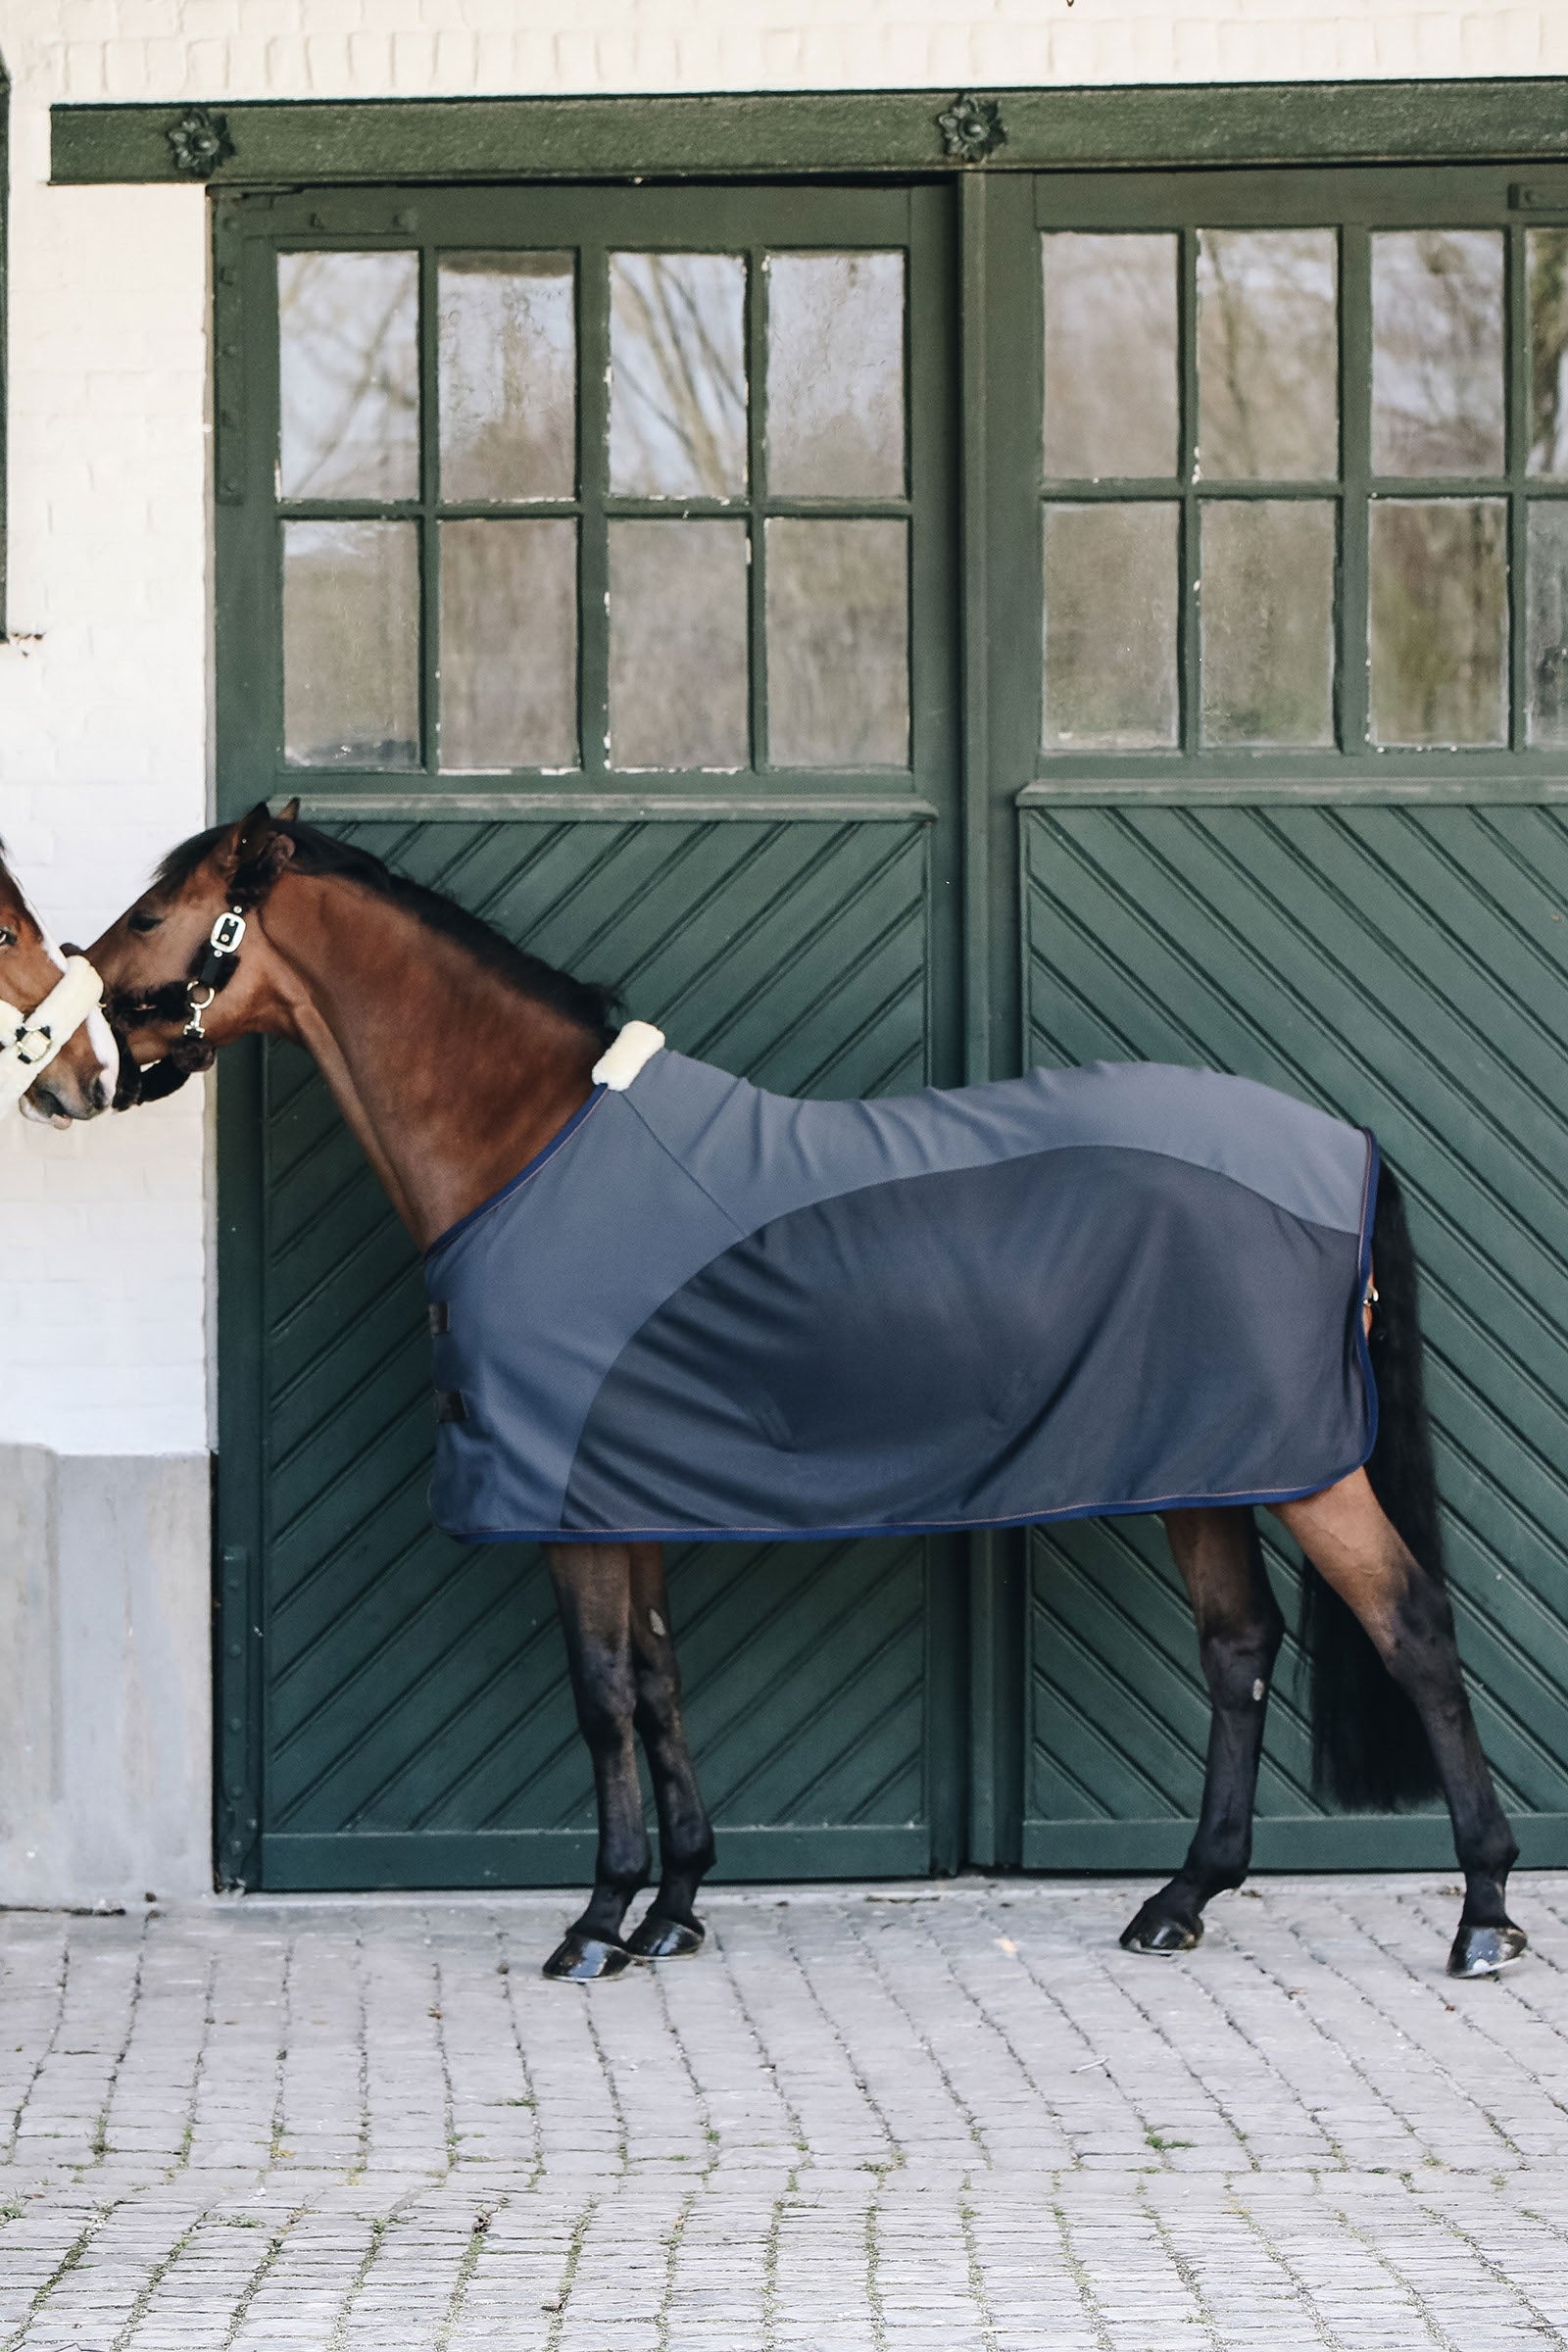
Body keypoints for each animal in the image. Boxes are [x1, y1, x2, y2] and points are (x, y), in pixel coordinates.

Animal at [47, 799, 1527, 1985]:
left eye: (151, 915)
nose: (70, 1073)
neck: (535, 1148)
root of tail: (1343, 1143)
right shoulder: (625, 1492)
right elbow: (657, 1682)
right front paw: (675, 1909)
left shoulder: (568, 1496)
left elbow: (601, 1693)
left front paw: (595, 1926)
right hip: (1208, 1464)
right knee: (1238, 1649)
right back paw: (1181, 1899)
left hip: (1303, 1468)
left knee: (1409, 1626)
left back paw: (1484, 1915)